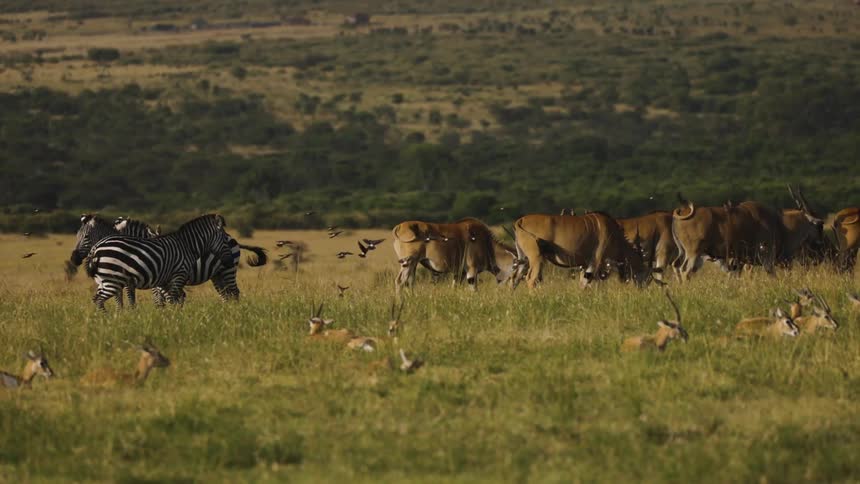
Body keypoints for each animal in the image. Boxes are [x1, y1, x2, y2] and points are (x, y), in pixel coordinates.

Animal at [86, 214, 234, 310]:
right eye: (224, 241)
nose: (230, 261)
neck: (186, 246)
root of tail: (96, 248)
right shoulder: (177, 275)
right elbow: (172, 299)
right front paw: (174, 320)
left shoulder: (164, 280)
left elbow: (171, 299)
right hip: (112, 280)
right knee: (98, 299)